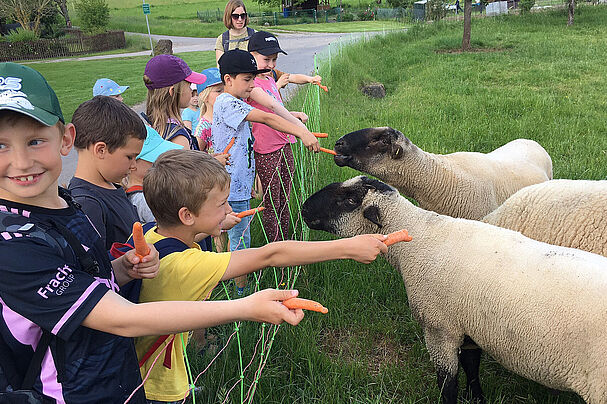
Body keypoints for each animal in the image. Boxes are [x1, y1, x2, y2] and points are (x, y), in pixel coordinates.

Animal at [302, 176, 607, 404]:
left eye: (349, 200)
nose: (304, 208)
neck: (418, 239)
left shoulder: (439, 328)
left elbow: (447, 383)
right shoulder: (468, 323)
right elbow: (472, 366)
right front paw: (478, 398)